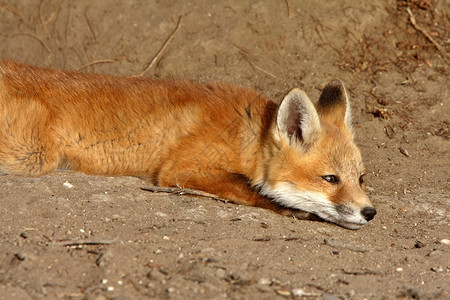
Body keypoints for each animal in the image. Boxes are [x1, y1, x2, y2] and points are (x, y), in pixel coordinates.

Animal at [0, 60, 374, 230]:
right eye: (330, 179)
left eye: (361, 179)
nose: (370, 212)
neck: (246, 135)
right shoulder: (181, 168)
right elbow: (248, 188)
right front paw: (291, 208)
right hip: (33, 156)